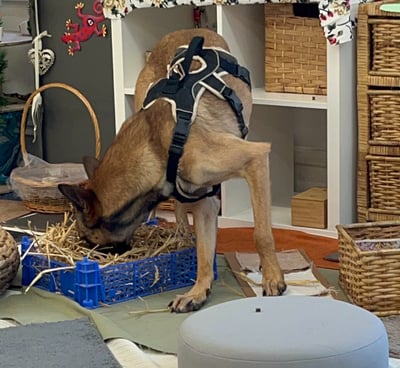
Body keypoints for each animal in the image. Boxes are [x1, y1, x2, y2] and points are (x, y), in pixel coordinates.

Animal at [58, 28, 284, 312]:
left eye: (87, 238)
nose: (93, 257)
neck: (158, 149)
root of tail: (190, 30)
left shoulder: (255, 158)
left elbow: (261, 234)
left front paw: (272, 277)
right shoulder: (204, 202)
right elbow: (203, 253)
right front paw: (198, 291)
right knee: (179, 208)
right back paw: (182, 232)